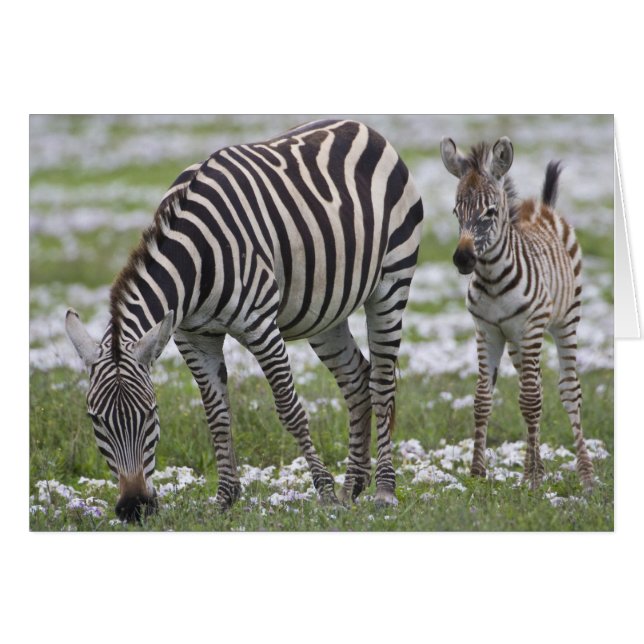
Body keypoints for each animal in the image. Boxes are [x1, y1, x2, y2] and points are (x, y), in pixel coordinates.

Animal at [66, 119, 424, 521]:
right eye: (95, 420)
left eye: (150, 413)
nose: (134, 508)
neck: (196, 261)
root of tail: (362, 127)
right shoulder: (193, 338)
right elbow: (217, 415)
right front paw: (225, 498)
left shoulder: (260, 325)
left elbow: (290, 409)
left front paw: (325, 493)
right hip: (326, 312)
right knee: (356, 379)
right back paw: (353, 486)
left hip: (392, 281)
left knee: (381, 383)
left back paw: (384, 490)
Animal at [439, 135, 594, 491]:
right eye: (456, 211)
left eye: (490, 212)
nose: (463, 259)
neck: (493, 279)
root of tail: (543, 205)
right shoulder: (487, 331)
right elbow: (483, 399)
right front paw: (477, 474)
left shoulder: (530, 327)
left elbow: (530, 400)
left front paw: (534, 481)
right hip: (516, 342)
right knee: (535, 384)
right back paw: (534, 467)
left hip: (565, 322)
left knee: (568, 390)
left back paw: (586, 475)